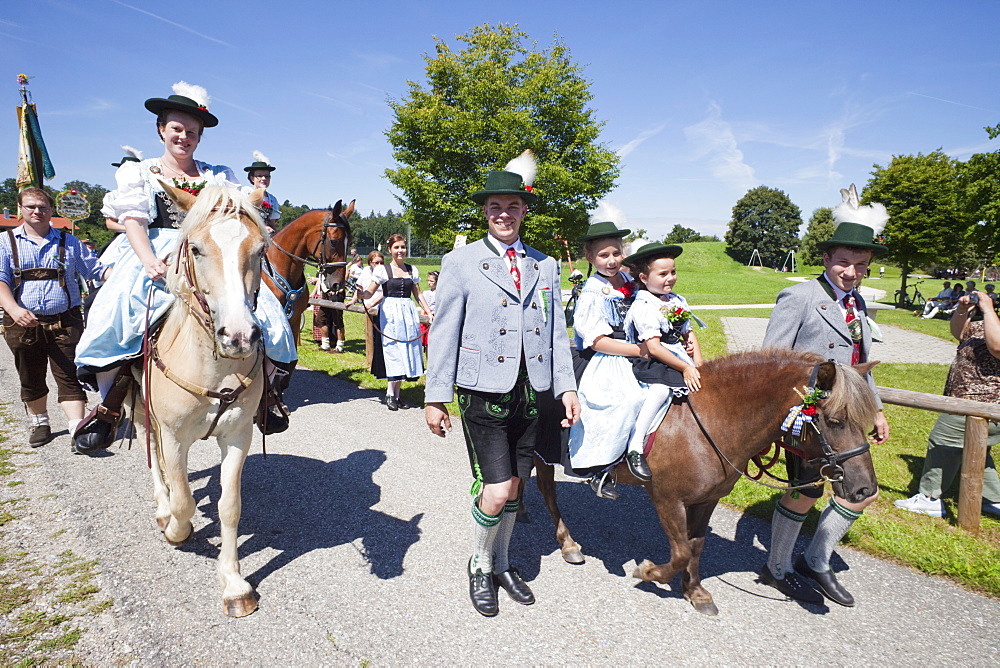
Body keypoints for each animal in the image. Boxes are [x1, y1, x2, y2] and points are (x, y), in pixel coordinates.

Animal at [135, 185, 272, 620]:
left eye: (260, 248)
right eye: (194, 249)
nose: (240, 336)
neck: (214, 368)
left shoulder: (238, 437)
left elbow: (229, 506)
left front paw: (233, 583)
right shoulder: (174, 436)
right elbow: (184, 502)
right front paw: (176, 531)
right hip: (141, 411)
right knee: (155, 463)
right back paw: (162, 509)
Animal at [536, 350, 880, 616]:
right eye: (834, 421)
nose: (865, 489)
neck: (710, 420)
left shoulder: (706, 499)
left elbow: (695, 546)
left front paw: (695, 591)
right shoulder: (666, 497)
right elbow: (679, 552)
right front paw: (649, 572)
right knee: (546, 491)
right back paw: (567, 543)